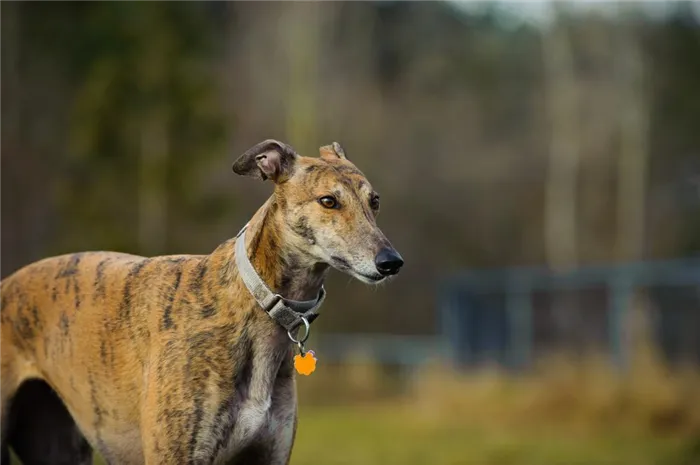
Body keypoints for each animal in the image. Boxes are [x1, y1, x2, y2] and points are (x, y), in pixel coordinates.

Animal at [0, 140, 404, 464]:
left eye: (375, 202)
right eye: (328, 201)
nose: (391, 262)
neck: (252, 303)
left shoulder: (267, 454)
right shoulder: (175, 454)